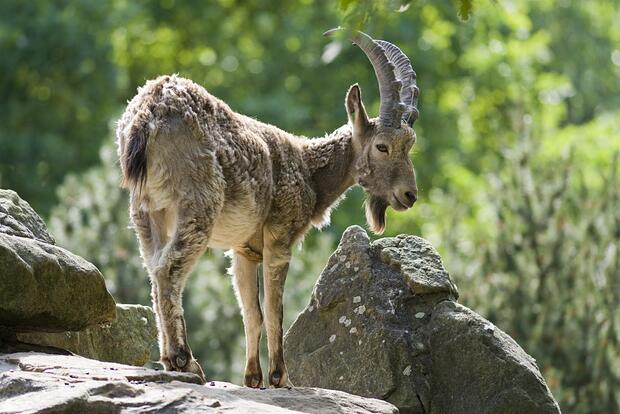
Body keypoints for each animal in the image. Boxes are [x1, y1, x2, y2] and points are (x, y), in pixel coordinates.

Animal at [117, 29, 422, 388]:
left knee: (154, 270)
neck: (308, 168)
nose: (409, 195)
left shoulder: (244, 251)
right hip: (197, 203)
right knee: (169, 270)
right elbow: (275, 310)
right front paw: (280, 377)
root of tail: (148, 113)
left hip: (146, 210)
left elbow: (252, 313)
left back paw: (169, 358)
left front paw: (252, 377)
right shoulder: (280, 238)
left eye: (409, 145)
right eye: (382, 146)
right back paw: (185, 360)